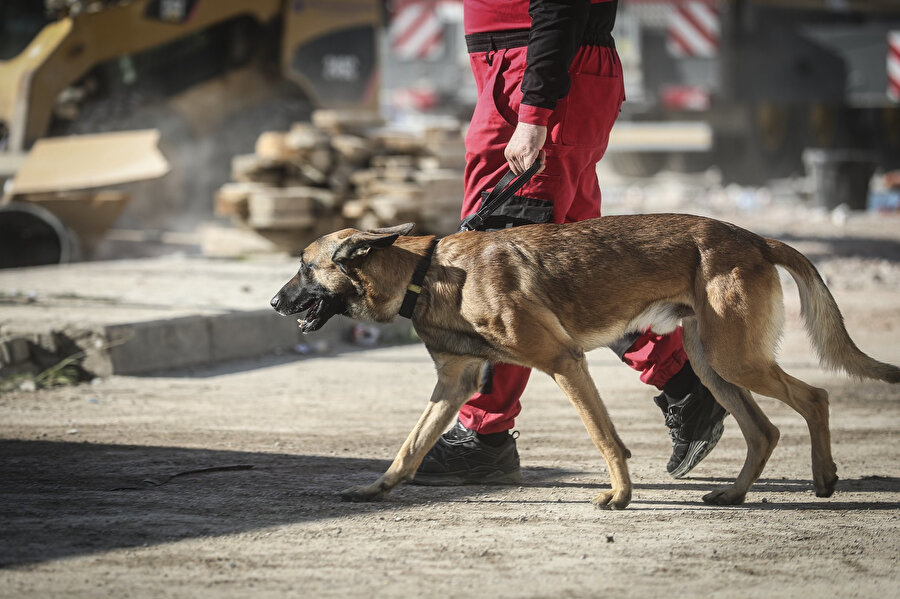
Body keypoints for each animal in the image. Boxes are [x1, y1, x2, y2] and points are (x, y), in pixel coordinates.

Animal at [268, 213, 900, 508]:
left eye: (303, 268)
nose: (273, 302)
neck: (428, 271)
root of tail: (755, 238)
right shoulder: (453, 386)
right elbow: (409, 447)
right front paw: (376, 490)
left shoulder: (565, 362)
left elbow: (604, 438)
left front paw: (619, 496)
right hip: (716, 363)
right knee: (764, 429)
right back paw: (735, 494)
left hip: (735, 358)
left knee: (814, 397)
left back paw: (824, 477)